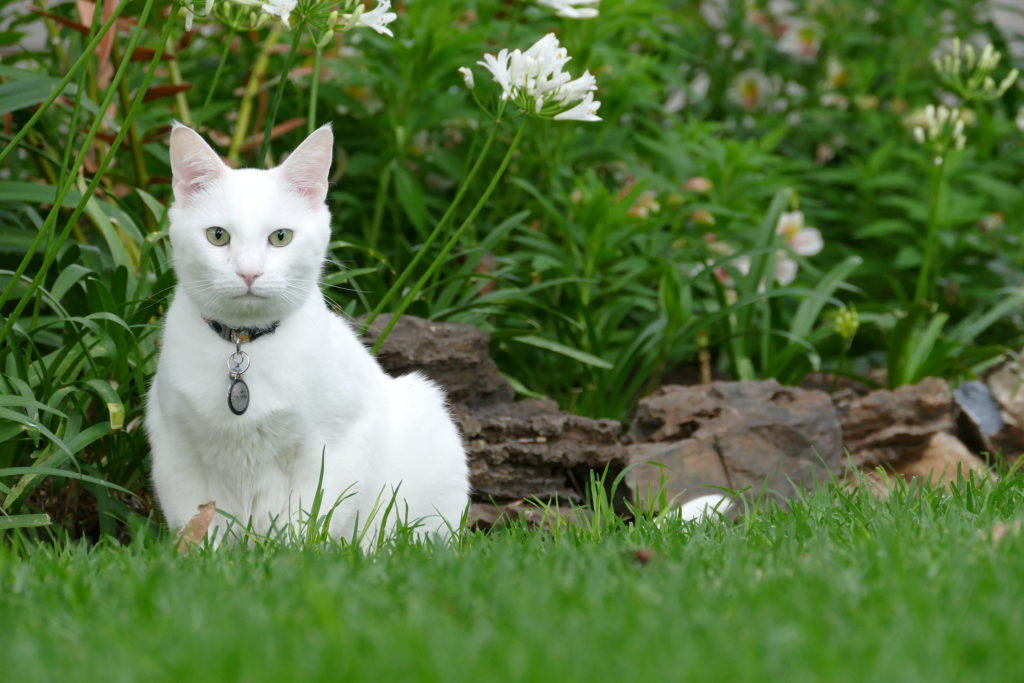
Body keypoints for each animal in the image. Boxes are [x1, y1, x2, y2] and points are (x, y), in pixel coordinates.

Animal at [146, 124, 468, 544]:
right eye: (217, 236)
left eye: (280, 237)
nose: (249, 272)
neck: (244, 345)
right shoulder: (178, 453)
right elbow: (197, 529)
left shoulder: (332, 451)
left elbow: (308, 526)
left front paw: (290, 554)